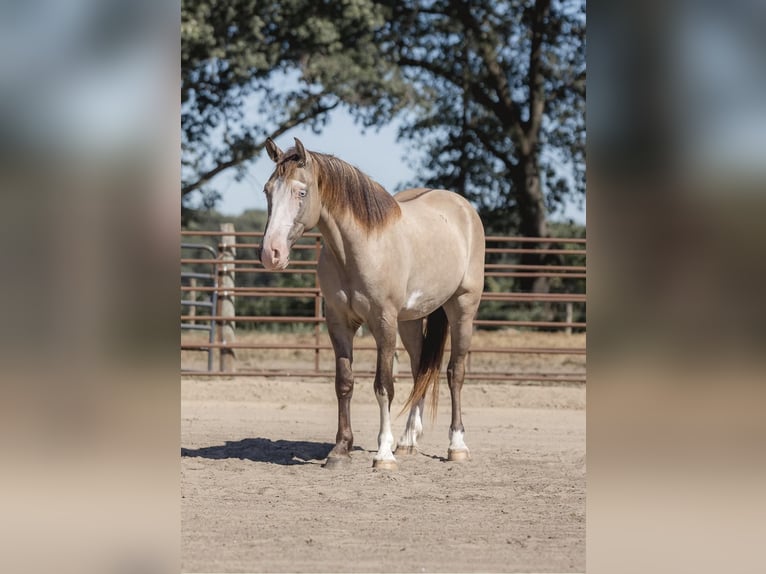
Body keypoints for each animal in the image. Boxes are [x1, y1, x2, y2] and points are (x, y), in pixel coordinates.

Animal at [258, 140, 486, 472]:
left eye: (301, 192)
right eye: (267, 191)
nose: (270, 254)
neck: (359, 249)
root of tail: (463, 208)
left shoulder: (383, 322)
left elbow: (383, 386)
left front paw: (384, 454)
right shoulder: (339, 322)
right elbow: (344, 383)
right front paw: (340, 450)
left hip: (462, 308)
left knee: (454, 372)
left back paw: (457, 446)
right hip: (410, 321)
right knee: (420, 371)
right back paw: (408, 441)